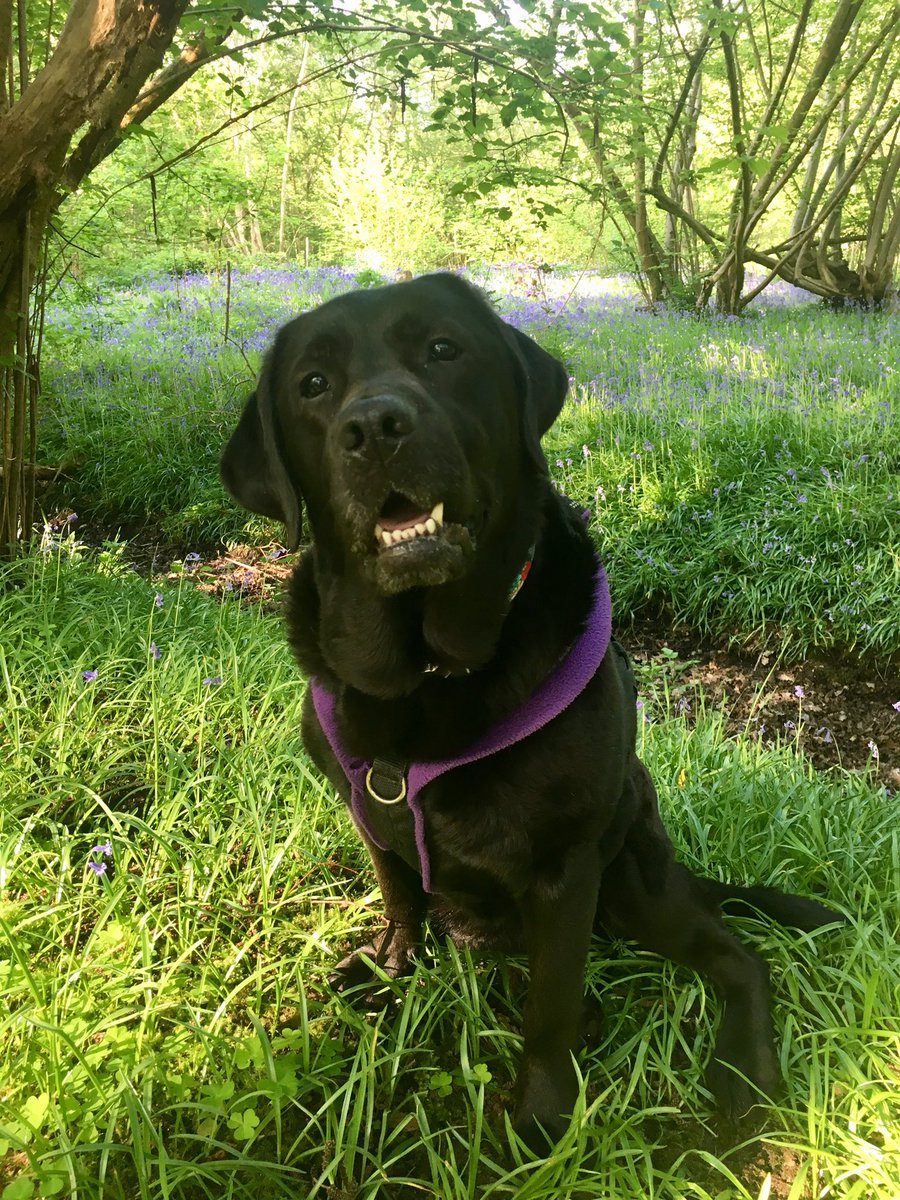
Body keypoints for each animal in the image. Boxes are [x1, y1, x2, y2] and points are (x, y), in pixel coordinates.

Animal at [222, 272, 844, 1142]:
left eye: (443, 349)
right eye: (312, 384)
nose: (375, 427)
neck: (428, 675)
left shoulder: (566, 869)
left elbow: (548, 1007)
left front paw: (543, 1123)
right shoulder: (370, 817)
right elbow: (400, 901)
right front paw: (389, 968)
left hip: (635, 882)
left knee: (738, 957)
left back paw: (742, 1075)